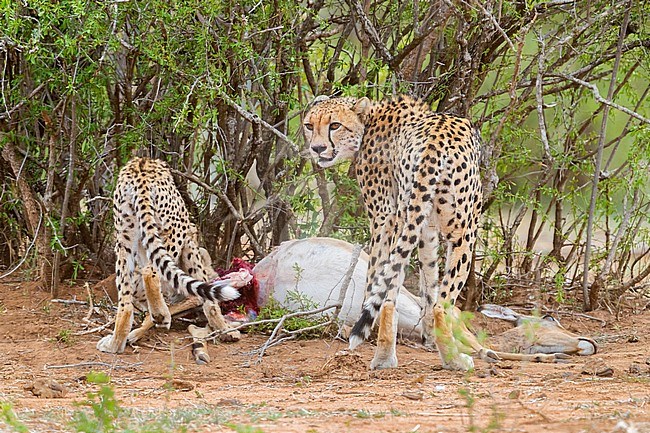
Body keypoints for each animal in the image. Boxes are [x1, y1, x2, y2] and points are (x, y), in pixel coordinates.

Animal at [95, 157, 239, 356]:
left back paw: (115, 343)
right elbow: (207, 298)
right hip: (174, 229)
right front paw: (225, 329)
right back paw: (161, 314)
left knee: (125, 299)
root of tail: (141, 165)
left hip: (124, 238)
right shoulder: (189, 241)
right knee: (150, 271)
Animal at [304, 93, 492, 368]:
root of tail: (436, 140)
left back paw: (386, 356)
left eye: (335, 125)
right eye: (309, 126)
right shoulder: (414, 223)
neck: (369, 121)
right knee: (437, 303)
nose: (317, 148)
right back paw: (451, 360)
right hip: (460, 230)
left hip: (420, 220)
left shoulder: (398, 220)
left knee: (393, 291)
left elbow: (411, 281)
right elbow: (428, 285)